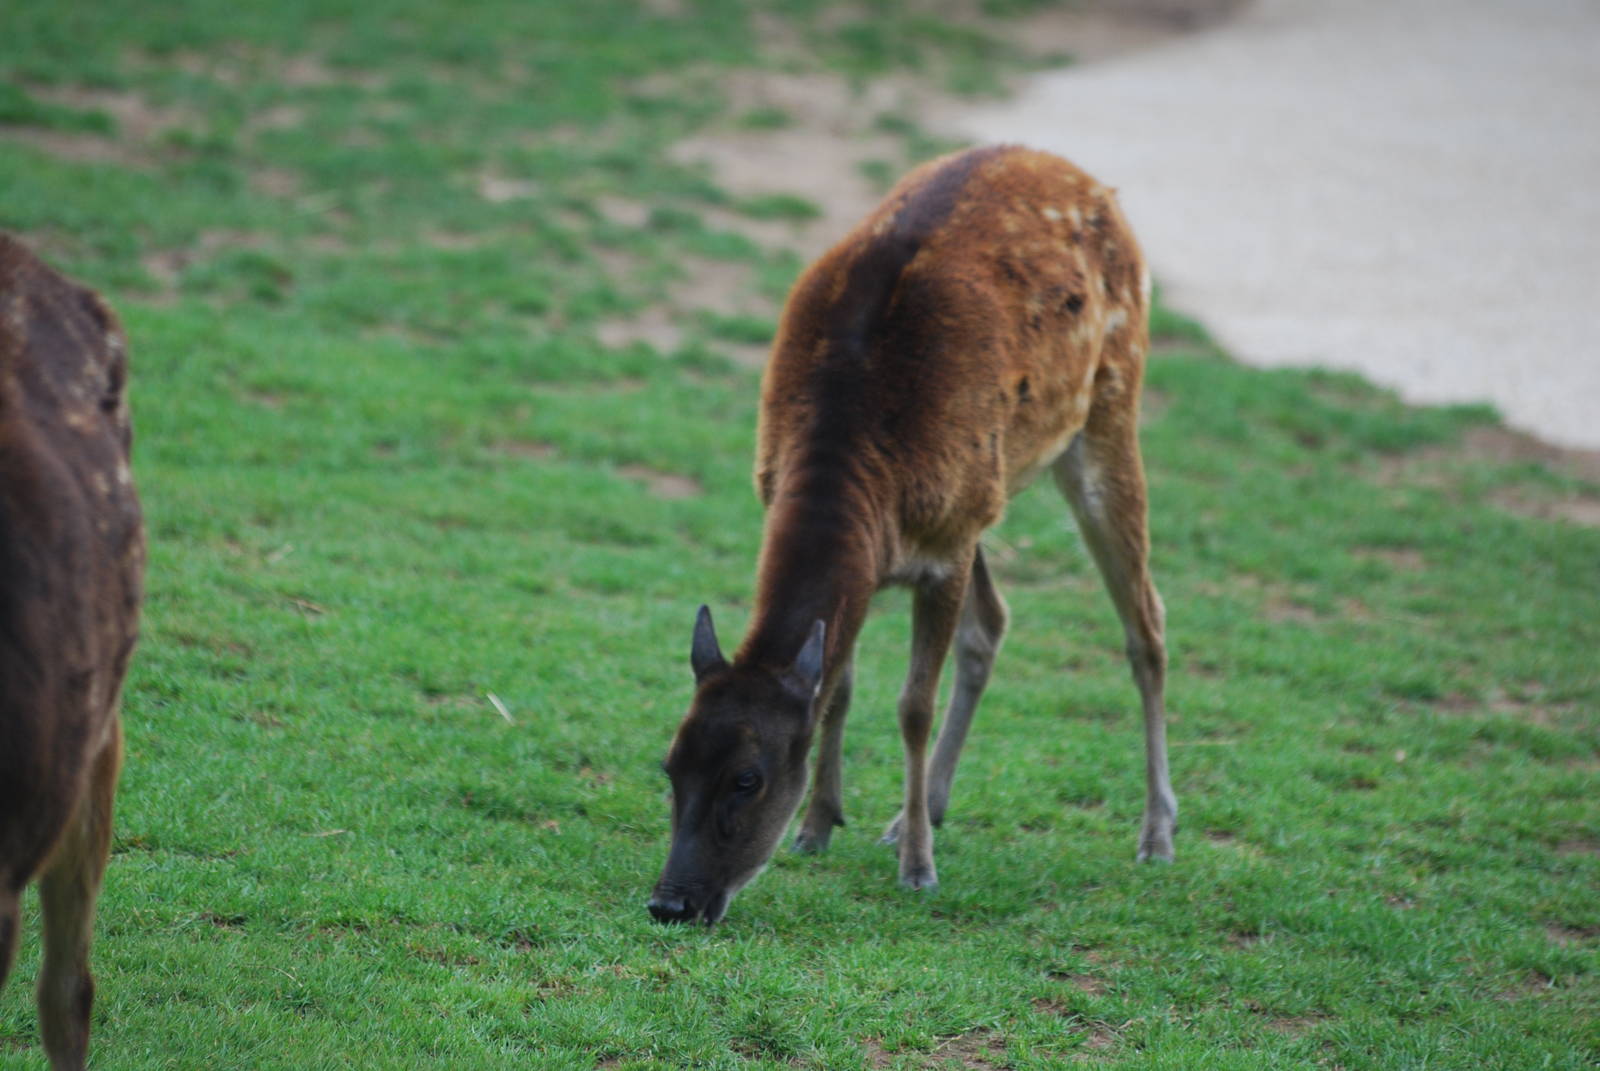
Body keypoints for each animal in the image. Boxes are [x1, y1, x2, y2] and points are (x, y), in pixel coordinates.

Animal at [648, 145, 1173, 926]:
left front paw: (918, 868)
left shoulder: (945, 550)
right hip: (989, 491)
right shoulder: (896, 549)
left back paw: (1156, 833)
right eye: (671, 763)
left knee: (1146, 623)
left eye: (748, 777)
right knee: (995, 620)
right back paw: (922, 808)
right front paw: (819, 824)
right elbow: (839, 684)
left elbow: (911, 705)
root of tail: (1081, 176)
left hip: (1108, 407)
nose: (671, 902)